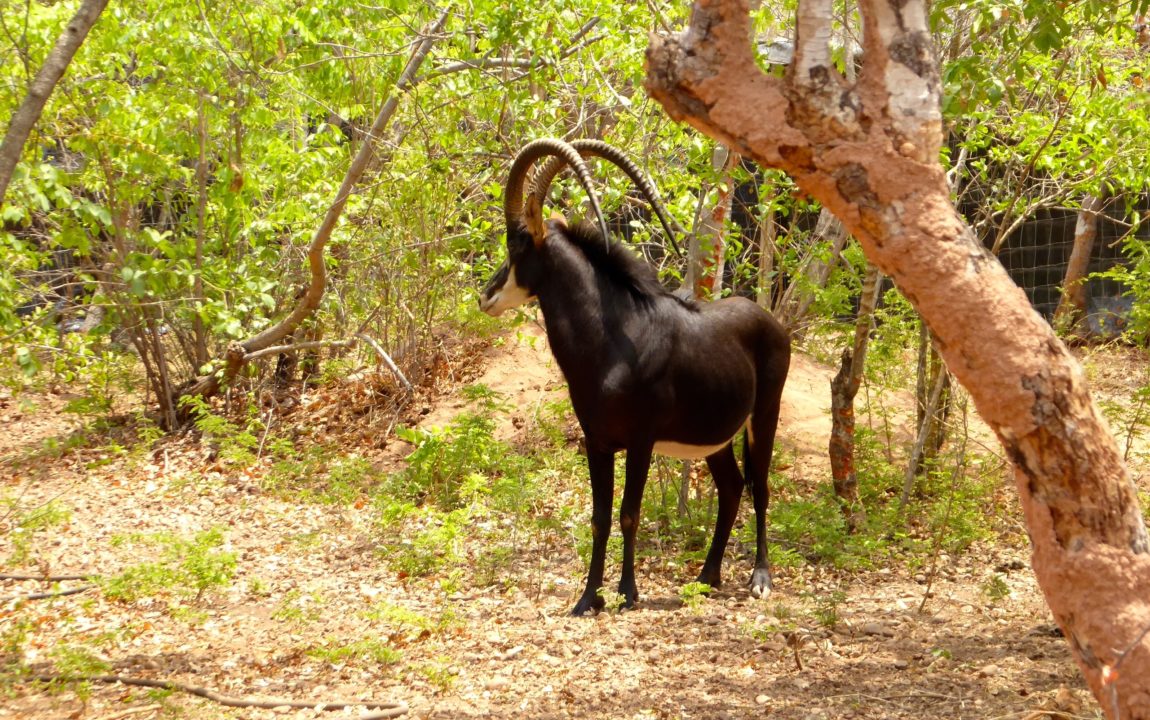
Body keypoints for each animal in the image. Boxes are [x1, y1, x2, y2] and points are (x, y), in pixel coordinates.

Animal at [478, 135, 791, 611]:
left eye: (517, 244)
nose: (486, 295)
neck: (614, 341)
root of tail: (770, 322)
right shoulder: (596, 442)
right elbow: (599, 517)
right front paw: (588, 598)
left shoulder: (641, 441)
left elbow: (629, 513)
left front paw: (627, 591)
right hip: (715, 436)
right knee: (732, 486)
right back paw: (707, 576)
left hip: (764, 416)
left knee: (761, 488)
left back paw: (760, 578)